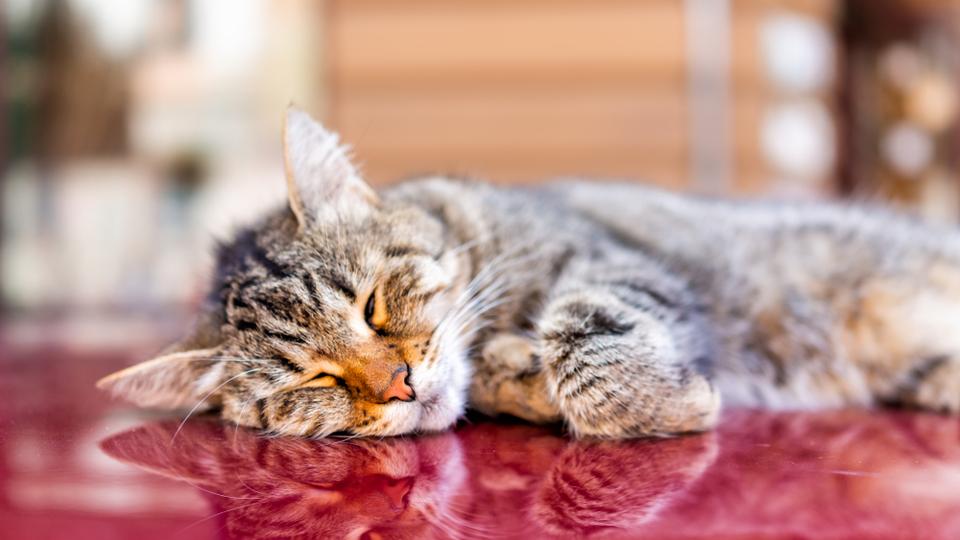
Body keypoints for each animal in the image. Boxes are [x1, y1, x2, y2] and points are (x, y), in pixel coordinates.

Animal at [97, 106, 960, 438]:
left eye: (372, 306)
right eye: (315, 381)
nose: (399, 384)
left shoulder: (613, 265)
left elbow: (583, 341)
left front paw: (666, 405)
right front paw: (519, 380)